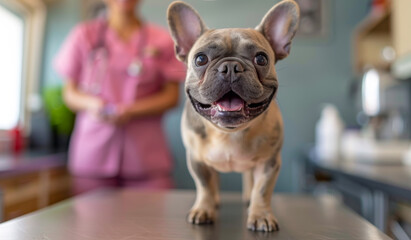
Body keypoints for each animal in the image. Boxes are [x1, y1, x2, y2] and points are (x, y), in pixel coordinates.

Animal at [167, 0, 300, 232]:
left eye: (261, 58)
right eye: (200, 59)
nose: (231, 66)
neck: (227, 133)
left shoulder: (269, 162)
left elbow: (262, 190)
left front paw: (260, 215)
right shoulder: (196, 160)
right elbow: (204, 186)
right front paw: (204, 209)